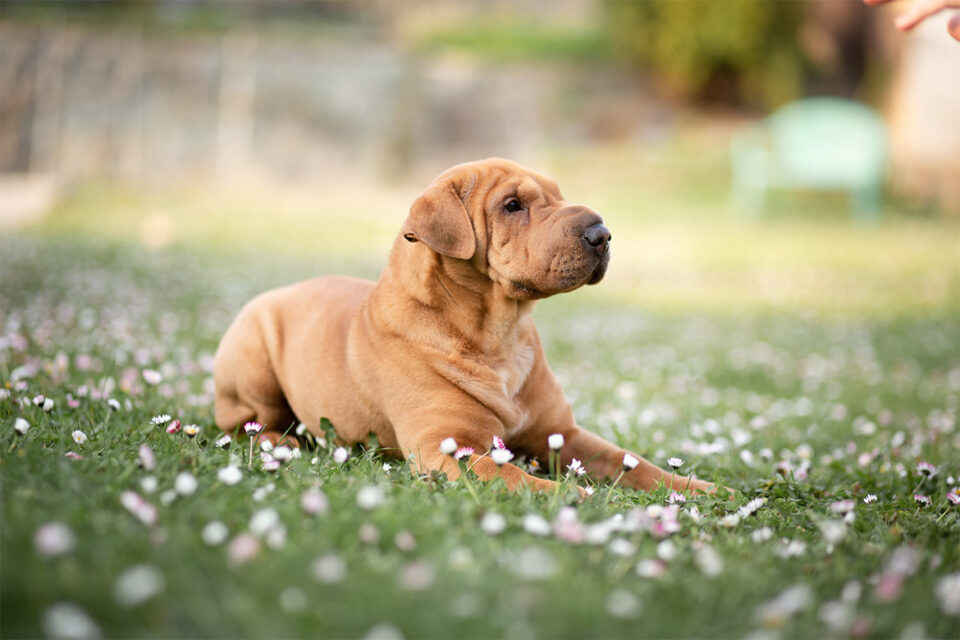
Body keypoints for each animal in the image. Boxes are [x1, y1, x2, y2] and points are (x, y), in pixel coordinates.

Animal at [214, 159, 716, 496]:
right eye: (512, 205)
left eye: (558, 195)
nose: (602, 233)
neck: (500, 335)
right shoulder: (449, 448)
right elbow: (522, 477)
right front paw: (578, 500)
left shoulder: (564, 435)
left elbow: (635, 463)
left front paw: (705, 490)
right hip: (252, 356)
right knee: (241, 423)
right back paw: (281, 441)